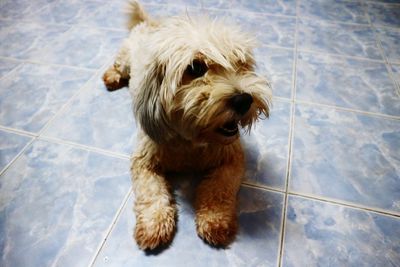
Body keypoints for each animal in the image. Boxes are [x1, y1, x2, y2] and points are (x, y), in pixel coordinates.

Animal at [103, 0, 272, 251]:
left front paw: (214, 219)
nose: (244, 100)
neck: (191, 139)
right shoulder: (144, 161)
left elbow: (219, 187)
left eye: (241, 64)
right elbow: (151, 191)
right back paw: (111, 77)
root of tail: (150, 24)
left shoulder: (231, 158)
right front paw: (154, 223)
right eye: (195, 68)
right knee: (117, 65)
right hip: (125, 60)